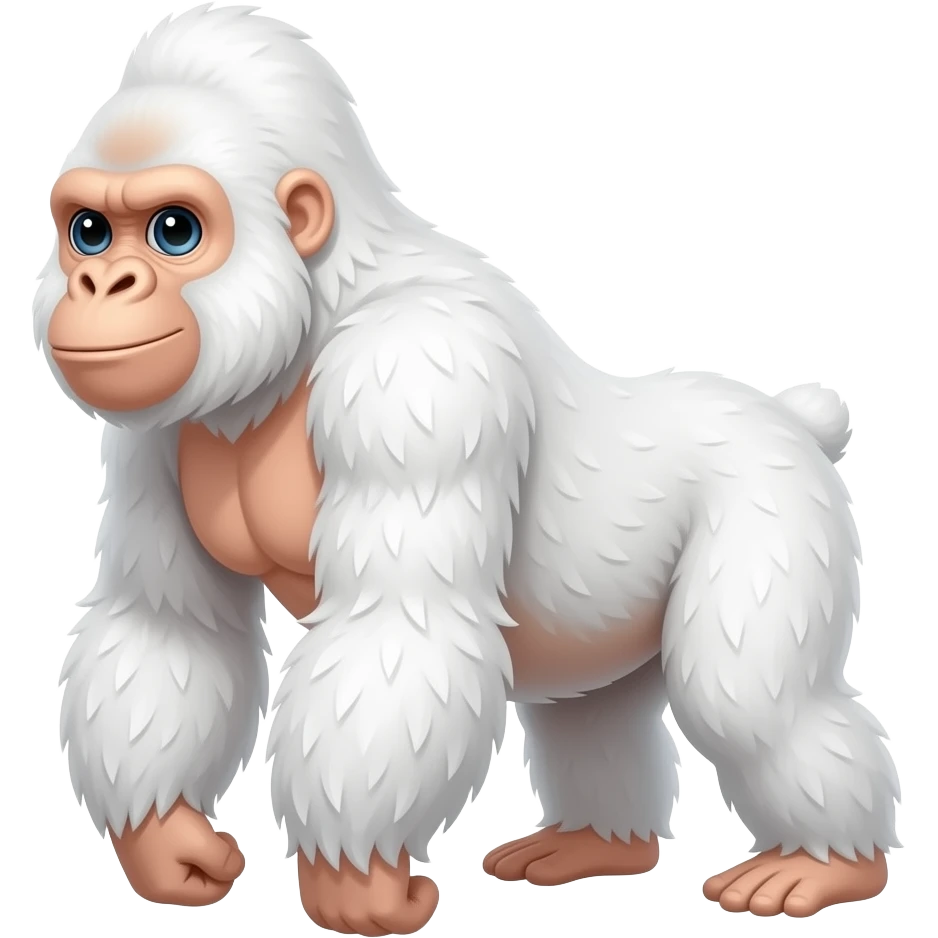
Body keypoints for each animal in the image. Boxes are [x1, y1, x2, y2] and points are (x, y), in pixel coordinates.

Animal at [33, 4, 900, 933]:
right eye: (88, 231)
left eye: (174, 230)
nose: (101, 285)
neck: (317, 305)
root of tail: (790, 419)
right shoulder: (152, 431)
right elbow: (169, 627)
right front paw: (163, 840)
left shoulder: (415, 369)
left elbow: (400, 625)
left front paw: (355, 879)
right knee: (594, 712)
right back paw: (599, 844)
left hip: (773, 499)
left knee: (747, 701)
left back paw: (829, 863)